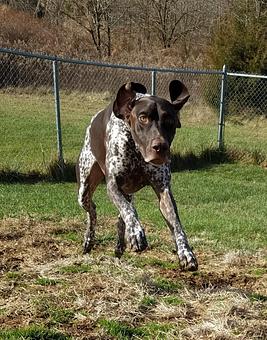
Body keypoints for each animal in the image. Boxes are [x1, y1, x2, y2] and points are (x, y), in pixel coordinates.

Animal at [77, 80, 199, 270]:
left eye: (170, 121)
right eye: (143, 118)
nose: (160, 147)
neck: (136, 151)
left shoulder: (163, 190)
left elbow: (177, 225)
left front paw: (185, 252)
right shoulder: (113, 185)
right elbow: (129, 211)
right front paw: (136, 232)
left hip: (126, 191)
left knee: (120, 217)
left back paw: (121, 244)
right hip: (84, 188)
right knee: (93, 211)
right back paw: (89, 240)